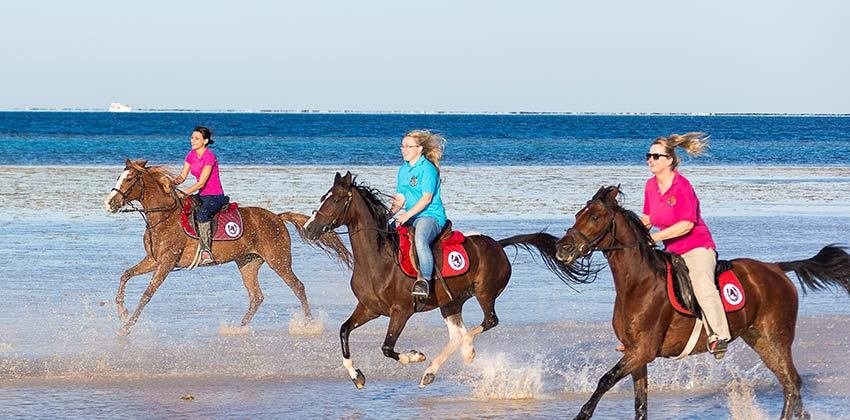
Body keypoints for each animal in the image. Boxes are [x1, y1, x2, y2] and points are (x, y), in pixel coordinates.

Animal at [103, 159, 352, 336]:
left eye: (129, 179)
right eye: (119, 176)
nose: (109, 203)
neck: (164, 217)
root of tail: (278, 217)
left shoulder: (166, 263)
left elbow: (147, 294)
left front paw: (126, 327)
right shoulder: (153, 260)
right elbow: (125, 275)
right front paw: (122, 313)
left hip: (278, 261)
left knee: (298, 287)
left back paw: (309, 324)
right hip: (248, 263)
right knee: (256, 297)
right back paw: (237, 328)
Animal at [302, 172, 580, 388]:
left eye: (336, 199)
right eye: (323, 198)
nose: (308, 228)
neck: (378, 260)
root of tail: (498, 245)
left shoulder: (401, 311)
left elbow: (387, 348)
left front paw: (415, 356)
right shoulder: (369, 308)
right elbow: (343, 331)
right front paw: (356, 376)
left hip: (485, 293)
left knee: (487, 322)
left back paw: (465, 352)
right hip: (451, 302)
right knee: (457, 335)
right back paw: (431, 372)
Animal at [552, 187, 848, 420]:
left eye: (595, 216)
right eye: (577, 214)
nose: (562, 248)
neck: (638, 283)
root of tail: (776, 268)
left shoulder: (642, 351)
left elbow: (605, 380)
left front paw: (581, 414)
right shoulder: (636, 355)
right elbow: (640, 404)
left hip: (777, 338)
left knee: (792, 383)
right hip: (760, 340)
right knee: (790, 384)